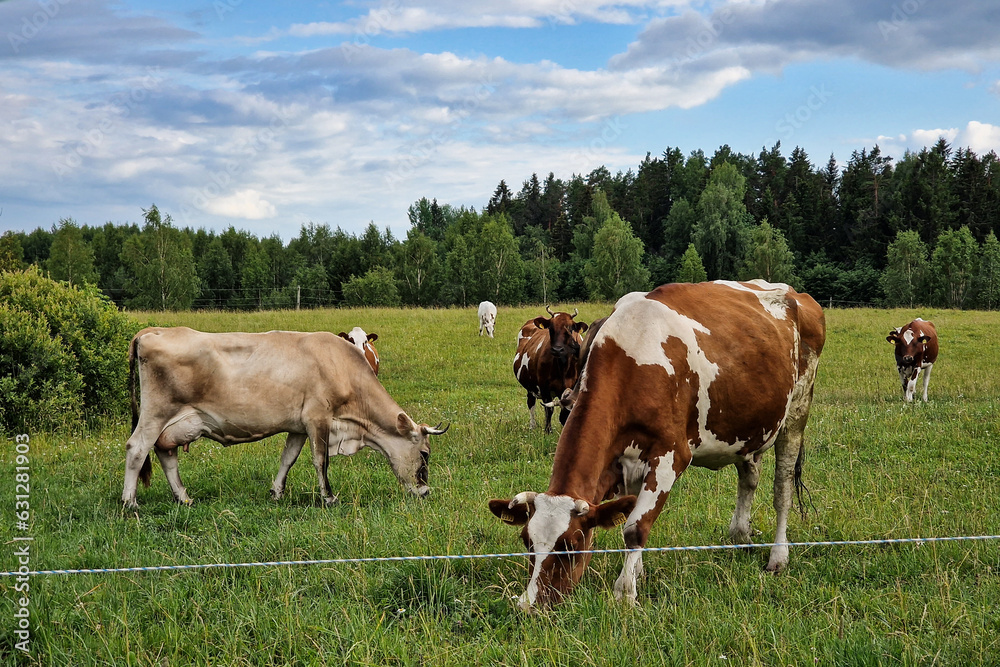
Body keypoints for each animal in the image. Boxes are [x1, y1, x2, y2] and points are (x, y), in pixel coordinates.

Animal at [123, 326, 448, 508]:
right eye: (425, 453)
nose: (426, 492)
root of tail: (150, 331)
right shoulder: (319, 418)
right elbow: (321, 461)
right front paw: (328, 497)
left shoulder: (299, 426)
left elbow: (287, 458)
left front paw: (276, 492)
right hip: (155, 415)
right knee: (137, 449)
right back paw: (130, 502)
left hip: (172, 424)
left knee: (166, 454)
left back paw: (184, 497)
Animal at [516, 306, 584, 434]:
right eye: (551, 329)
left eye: (570, 329)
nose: (557, 349)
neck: (563, 366)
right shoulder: (544, 388)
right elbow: (549, 410)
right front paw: (548, 431)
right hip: (530, 387)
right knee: (531, 403)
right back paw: (532, 426)